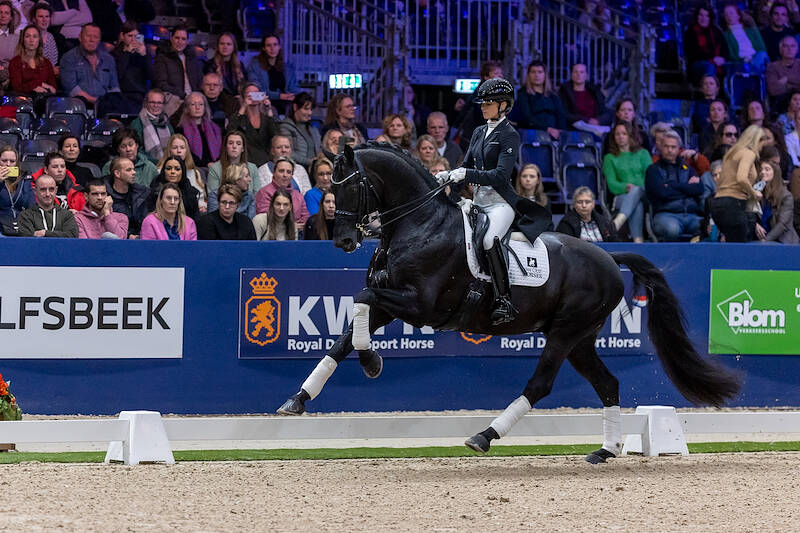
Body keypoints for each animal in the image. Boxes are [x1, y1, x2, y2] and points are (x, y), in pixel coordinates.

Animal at [277, 142, 741, 463]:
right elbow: (345, 333)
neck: (419, 224)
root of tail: (610, 257)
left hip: (566, 333)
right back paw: (605, 451)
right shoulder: (392, 304)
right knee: (607, 384)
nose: (343, 241)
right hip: (581, 339)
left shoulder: (419, 305)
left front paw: (371, 361)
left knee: (540, 385)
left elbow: (360, 299)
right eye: (327, 185)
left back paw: (484, 436)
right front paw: (298, 400)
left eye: (352, 185)